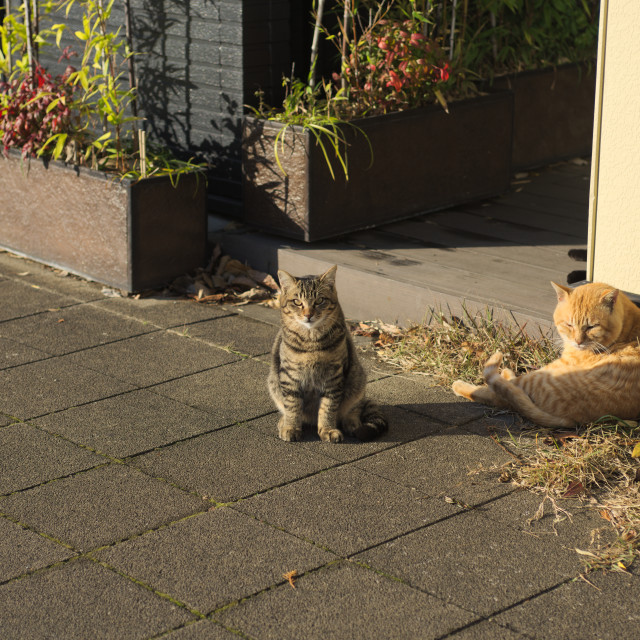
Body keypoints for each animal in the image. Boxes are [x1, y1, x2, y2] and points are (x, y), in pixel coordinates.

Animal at [268, 264, 388, 440]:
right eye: (297, 302)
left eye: (319, 301)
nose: (308, 315)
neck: (311, 342)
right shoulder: (290, 375)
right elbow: (292, 405)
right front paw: (291, 427)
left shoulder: (333, 376)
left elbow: (328, 407)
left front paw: (327, 429)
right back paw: (283, 422)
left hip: (357, 382)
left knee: (355, 408)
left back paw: (353, 424)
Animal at [450, 282, 640, 428]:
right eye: (569, 324)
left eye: (592, 327)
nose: (578, 341)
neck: (628, 328)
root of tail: (576, 420)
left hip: (539, 378)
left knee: (497, 394)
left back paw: (462, 385)